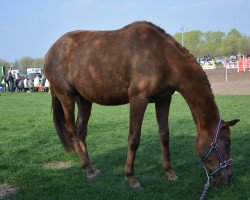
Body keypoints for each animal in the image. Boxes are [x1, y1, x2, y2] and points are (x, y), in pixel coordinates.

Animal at [44, 21, 239, 189]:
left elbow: (164, 135)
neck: (161, 54)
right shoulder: (138, 98)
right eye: (227, 143)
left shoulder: (164, 99)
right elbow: (134, 138)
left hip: (84, 100)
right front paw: (131, 178)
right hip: (66, 97)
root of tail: (50, 52)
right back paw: (87, 169)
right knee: (72, 131)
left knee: (81, 131)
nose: (228, 179)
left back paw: (91, 168)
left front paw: (170, 173)